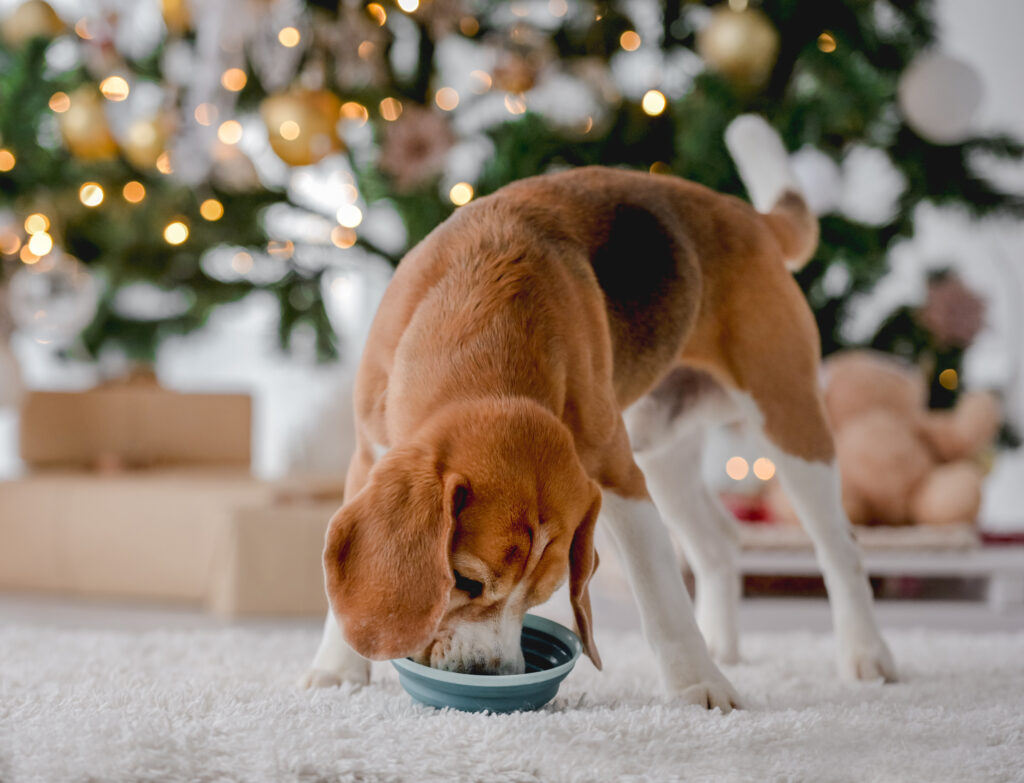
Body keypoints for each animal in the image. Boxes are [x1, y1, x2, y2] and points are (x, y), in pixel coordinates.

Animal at [299, 116, 897, 708]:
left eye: (542, 595)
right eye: (464, 582)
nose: (490, 674)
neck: (483, 324)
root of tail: (749, 218)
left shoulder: (619, 478)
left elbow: (662, 595)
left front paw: (699, 685)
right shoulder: (371, 452)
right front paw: (337, 672)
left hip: (786, 419)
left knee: (841, 548)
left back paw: (866, 656)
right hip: (663, 450)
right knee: (720, 542)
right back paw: (725, 647)